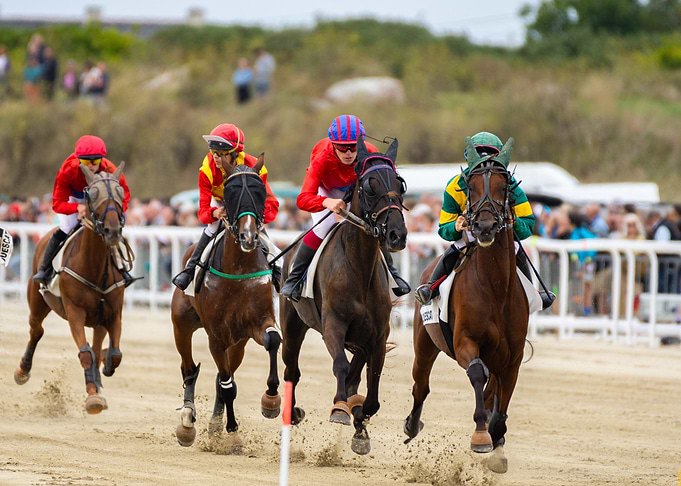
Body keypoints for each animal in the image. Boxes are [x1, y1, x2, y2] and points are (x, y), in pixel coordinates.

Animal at [15, 163, 130, 414]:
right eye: (92, 194)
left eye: (120, 193)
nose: (113, 231)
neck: (95, 267)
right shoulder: (75, 311)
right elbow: (86, 354)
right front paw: (93, 397)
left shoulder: (113, 313)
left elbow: (114, 354)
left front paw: (102, 373)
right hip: (37, 301)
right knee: (36, 330)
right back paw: (22, 370)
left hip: (99, 319)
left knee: (97, 345)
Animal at [171, 157, 281, 447]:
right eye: (231, 194)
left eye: (260, 192)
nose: (248, 237)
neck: (238, 269)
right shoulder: (216, 335)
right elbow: (227, 385)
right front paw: (231, 427)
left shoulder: (256, 322)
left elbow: (272, 340)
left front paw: (271, 400)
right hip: (182, 324)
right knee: (189, 368)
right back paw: (187, 421)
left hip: (238, 342)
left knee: (225, 372)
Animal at [280, 136, 408, 455]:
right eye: (370, 185)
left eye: (400, 185)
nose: (397, 235)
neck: (358, 268)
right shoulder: (333, 325)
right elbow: (340, 365)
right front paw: (340, 408)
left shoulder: (377, 336)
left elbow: (371, 387)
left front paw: (359, 416)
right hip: (292, 326)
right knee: (291, 369)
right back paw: (292, 410)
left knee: (354, 375)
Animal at [404, 144, 529, 474]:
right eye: (470, 188)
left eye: (504, 187)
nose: (484, 226)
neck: (495, 289)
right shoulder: (464, 342)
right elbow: (476, 372)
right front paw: (482, 436)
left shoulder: (513, 356)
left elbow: (503, 398)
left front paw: (497, 439)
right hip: (424, 343)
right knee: (421, 385)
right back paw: (411, 424)